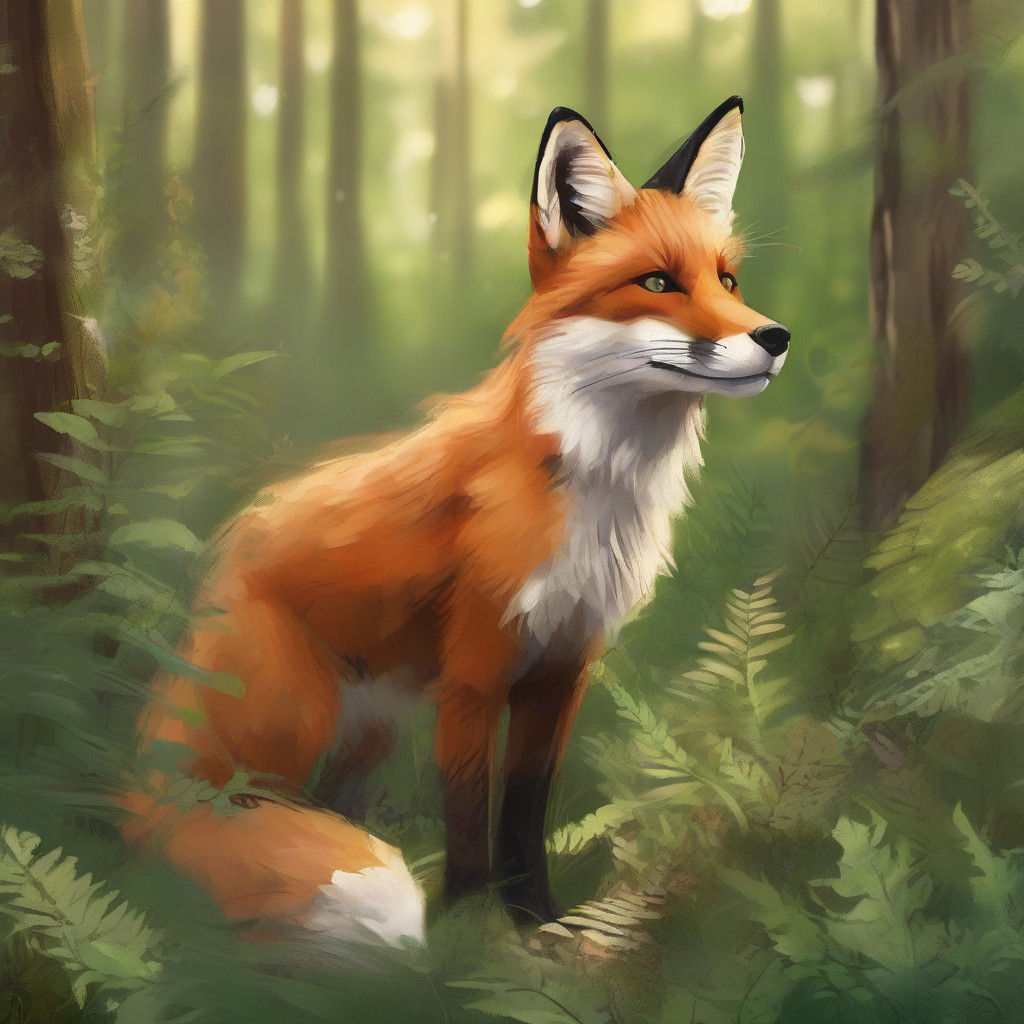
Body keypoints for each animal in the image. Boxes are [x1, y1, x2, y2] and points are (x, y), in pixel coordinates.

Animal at [123, 96, 790, 947]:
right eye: (657, 282)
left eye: (728, 280)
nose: (775, 337)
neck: (592, 485)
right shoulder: (475, 671)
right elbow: (471, 820)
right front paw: (472, 936)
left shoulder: (562, 671)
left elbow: (524, 815)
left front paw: (537, 924)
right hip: (287, 737)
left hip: (364, 738)